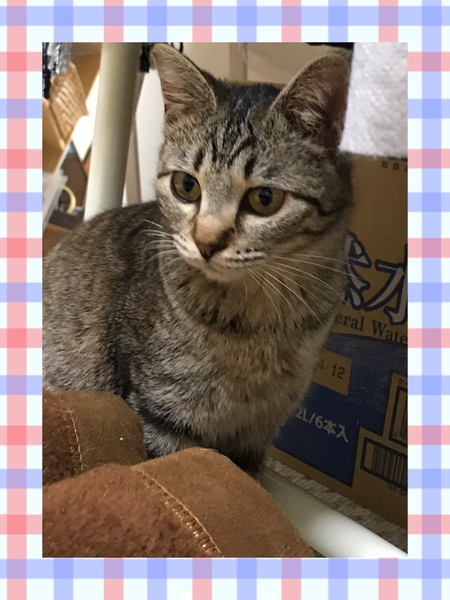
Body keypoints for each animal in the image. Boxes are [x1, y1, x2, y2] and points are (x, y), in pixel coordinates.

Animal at [43, 44, 353, 476]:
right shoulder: (161, 417)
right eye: (185, 186)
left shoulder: (256, 436)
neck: (262, 325)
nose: (206, 242)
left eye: (265, 198)